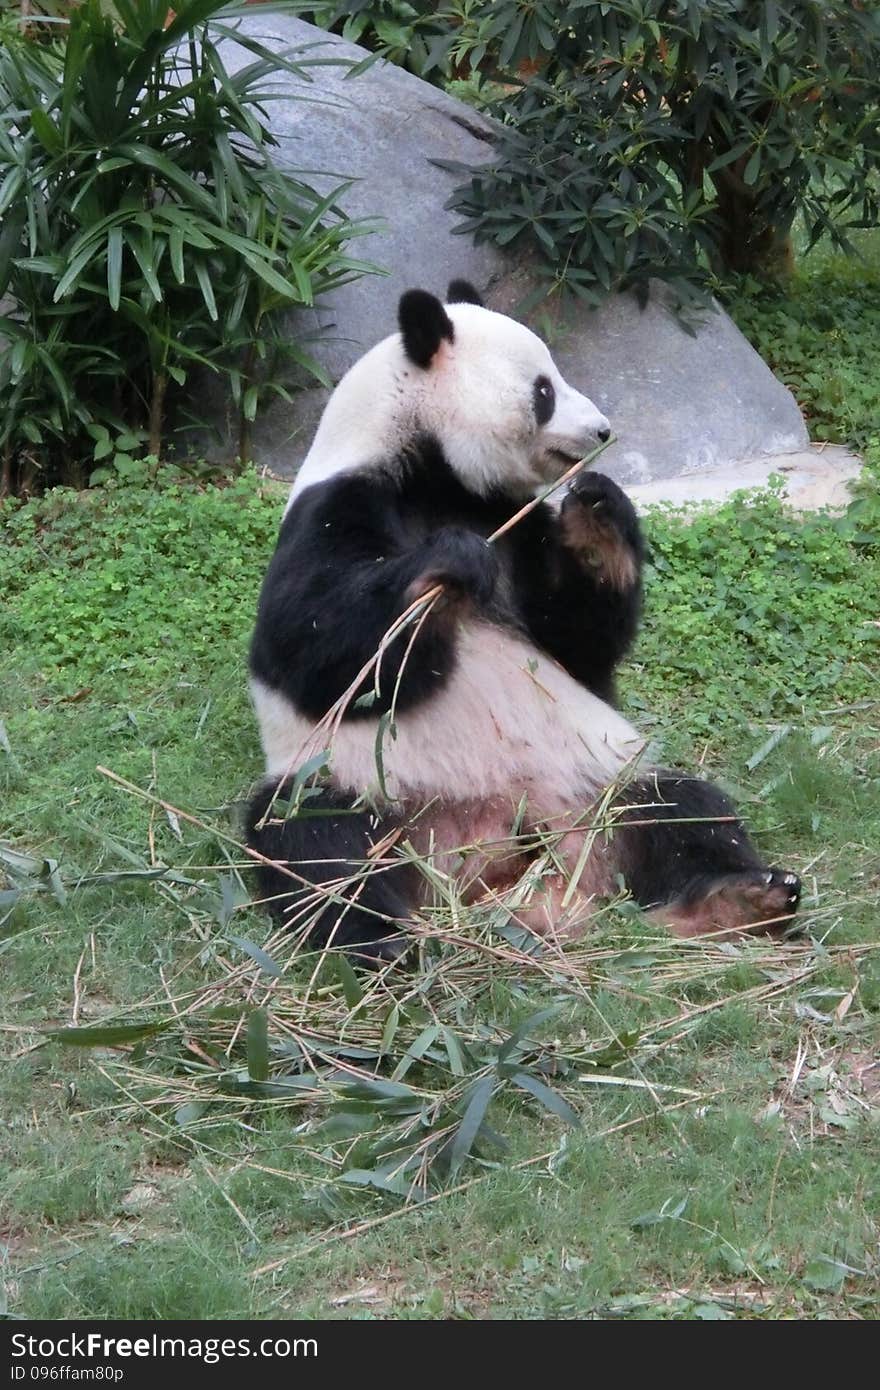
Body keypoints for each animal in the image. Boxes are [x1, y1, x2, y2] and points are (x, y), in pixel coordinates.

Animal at [243, 278, 800, 961]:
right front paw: (446, 572)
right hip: (366, 787)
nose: (601, 430)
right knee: (313, 842)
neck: (433, 472)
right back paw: (389, 945)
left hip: (598, 781)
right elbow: (311, 647)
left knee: (681, 809)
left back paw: (739, 901)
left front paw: (598, 511)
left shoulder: (512, 520)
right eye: (544, 390)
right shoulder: (337, 506)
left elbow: (578, 646)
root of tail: (496, 863)